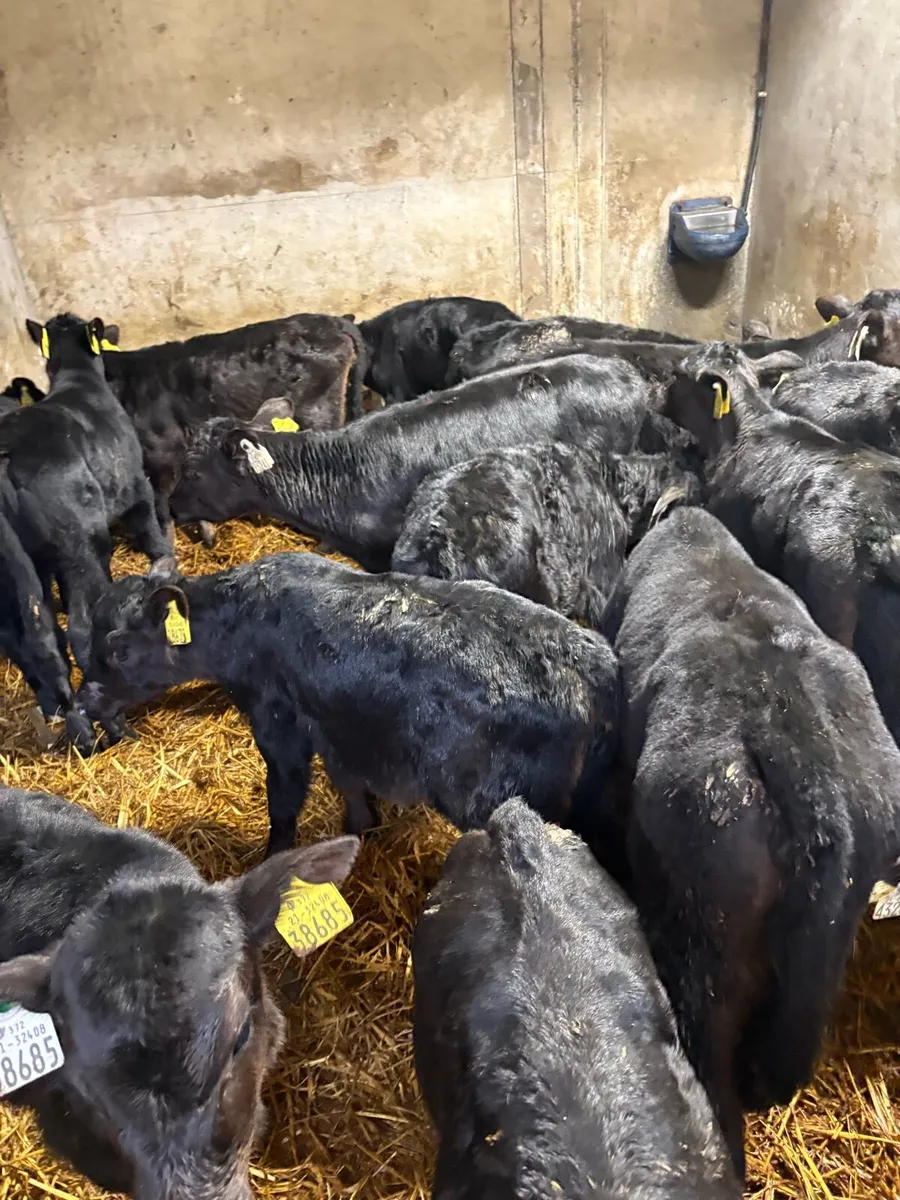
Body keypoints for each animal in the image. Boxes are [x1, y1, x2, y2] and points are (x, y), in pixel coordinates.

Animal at [2, 314, 173, 670]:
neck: (78, 379)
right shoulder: (135, 485)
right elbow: (153, 536)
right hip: (78, 543)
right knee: (78, 625)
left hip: (26, 566)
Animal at [76, 553, 620, 857]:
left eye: (120, 651)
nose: (84, 698)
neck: (242, 616)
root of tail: (593, 659)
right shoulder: (338, 730)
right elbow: (349, 785)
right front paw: (359, 827)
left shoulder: (279, 723)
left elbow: (284, 801)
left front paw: (273, 858)